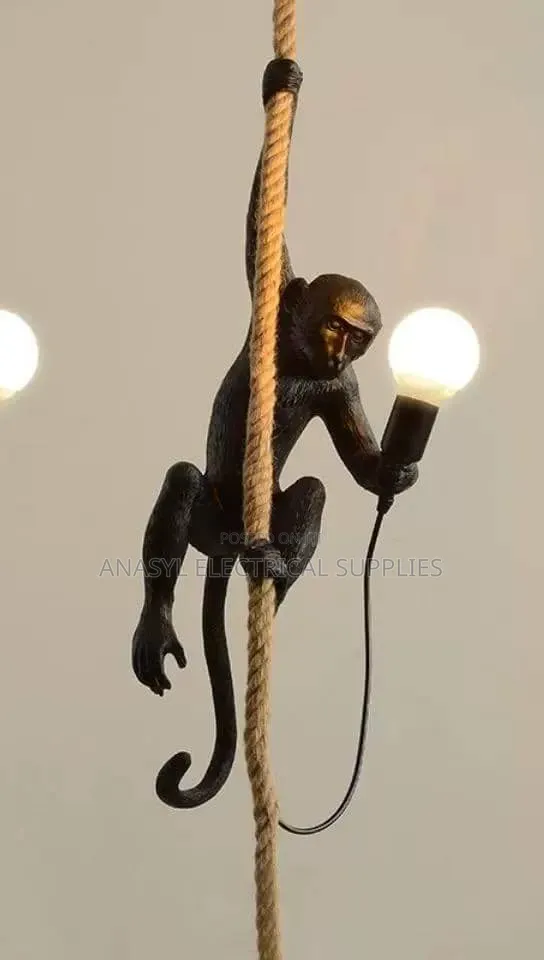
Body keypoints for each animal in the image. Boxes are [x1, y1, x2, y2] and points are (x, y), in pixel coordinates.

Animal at [131, 58, 418, 810]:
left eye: (361, 338)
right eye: (337, 325)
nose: (344, 349)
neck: (297, 361)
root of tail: (233, 535)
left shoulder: (341, 388)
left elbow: (357, 468)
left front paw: (397, 472)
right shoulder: (277, 299)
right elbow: (262, 216)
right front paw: (280, 86)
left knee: (311, 489)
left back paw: (276, 575)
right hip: (209, 520)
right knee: (183, 482)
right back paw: (157, 622)